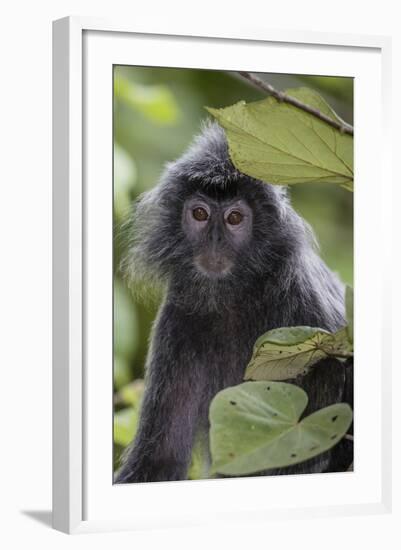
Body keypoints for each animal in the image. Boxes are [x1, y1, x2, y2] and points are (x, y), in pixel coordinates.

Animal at [114, 122, 352, 484]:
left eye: (235, 218)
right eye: (200, 214)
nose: (215, 241)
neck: (234, 299)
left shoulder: (313, 313)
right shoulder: (176, 319)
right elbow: (160, 459)